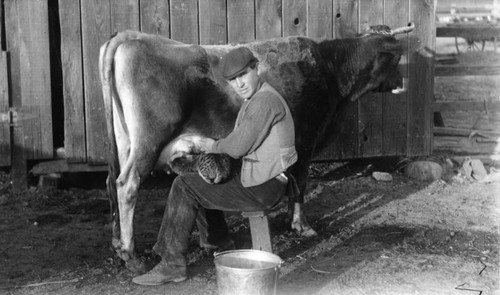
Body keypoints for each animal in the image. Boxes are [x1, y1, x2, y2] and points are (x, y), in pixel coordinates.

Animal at [97, 24, 414, 274]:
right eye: (396, 59)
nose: (403, 84)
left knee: (112, 182)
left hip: (125, 142)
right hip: (148, 141)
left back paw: (117, 245)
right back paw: (131, 256)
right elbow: (300, 183)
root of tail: (131, 36)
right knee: (127, 184)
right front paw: (301, 225)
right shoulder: (305, 139)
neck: (329, 71)